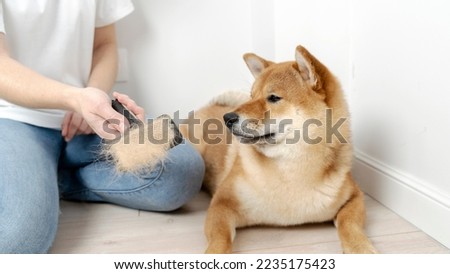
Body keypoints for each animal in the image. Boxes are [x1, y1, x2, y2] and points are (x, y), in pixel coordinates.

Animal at [179, 44, 376, 253]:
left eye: (273, 98)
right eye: (251, 96)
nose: (228, 118)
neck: (289, 170)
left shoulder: (355, 197)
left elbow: (349, 224)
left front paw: (361, 248)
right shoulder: (221, 203)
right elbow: (220, 236)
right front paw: (215, 253)